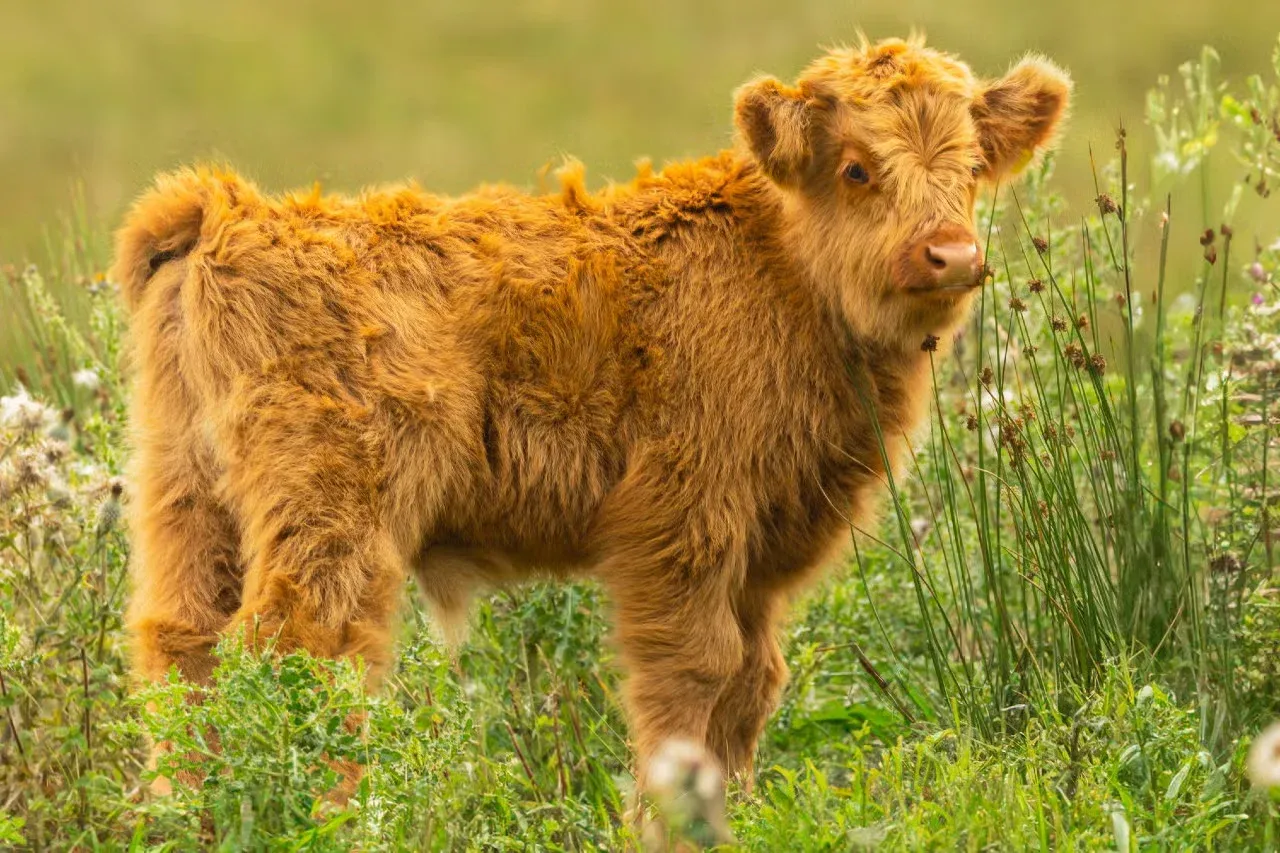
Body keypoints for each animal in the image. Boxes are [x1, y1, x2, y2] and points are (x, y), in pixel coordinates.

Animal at [113, 33, 1069, 820]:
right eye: (858, 168)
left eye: (973, 166)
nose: (950, 253)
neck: (778, 268)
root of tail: (234, 214)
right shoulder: (680, 528)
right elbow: (692, 674)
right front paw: (669, 822)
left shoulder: (761, 549)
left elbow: (752, 682)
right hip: (335, 516)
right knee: (309, 649)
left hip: (188, 497)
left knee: (182, 646)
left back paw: (184, 818)